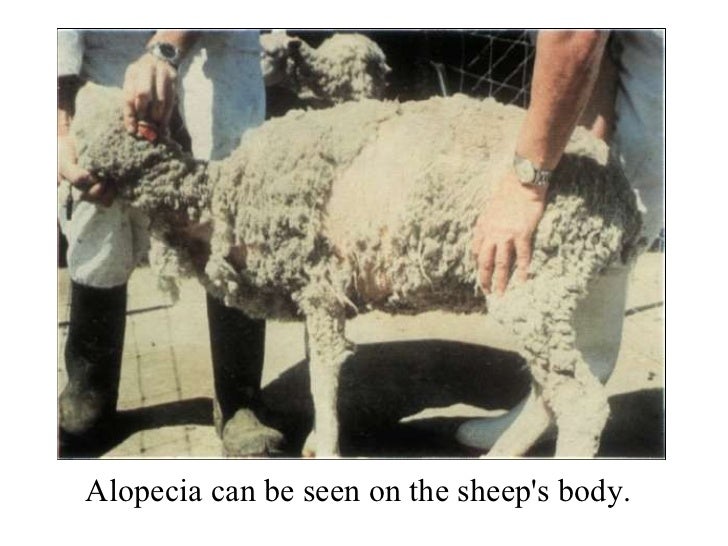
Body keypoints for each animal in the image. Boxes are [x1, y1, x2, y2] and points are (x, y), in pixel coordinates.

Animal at [65, 82, 643, 458]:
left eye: (95, 115)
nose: (74, 89)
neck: (216, 198)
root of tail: (619, 195)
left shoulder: (321, 285)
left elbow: (323, 376)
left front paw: (325, 448)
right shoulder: (316, 288)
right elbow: (318, 367)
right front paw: (319, 442)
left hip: (530, 283)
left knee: (581, 402)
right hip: (573, 286)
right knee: (566, 382)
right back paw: (496, 447)